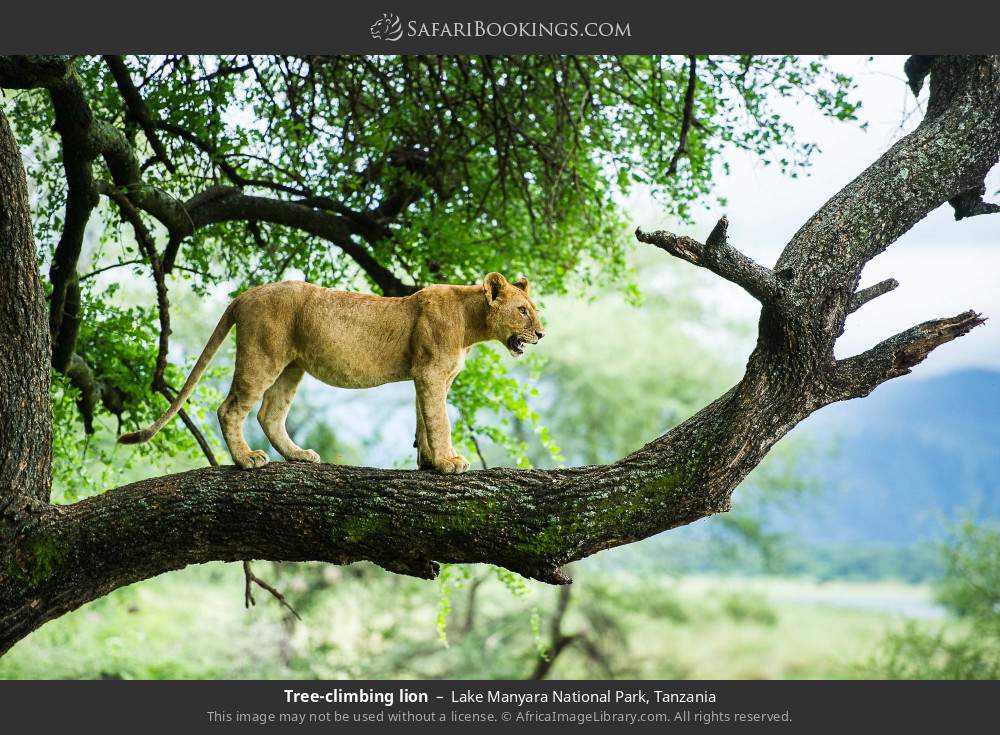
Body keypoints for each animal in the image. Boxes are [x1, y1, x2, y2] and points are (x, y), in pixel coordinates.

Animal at [118, 273, 544, 474]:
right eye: (523, 310)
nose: (541, 334)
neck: (472, 323)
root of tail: (244, 295)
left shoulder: (424, 376)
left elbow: (425, 420)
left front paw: (427, 463)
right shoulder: (431, 373)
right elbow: (440, 421)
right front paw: (449, 463)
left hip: (292, 366)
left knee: (269, 414)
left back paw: (299, 456)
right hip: (262, 356)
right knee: (231, 408)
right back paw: (246, 460)